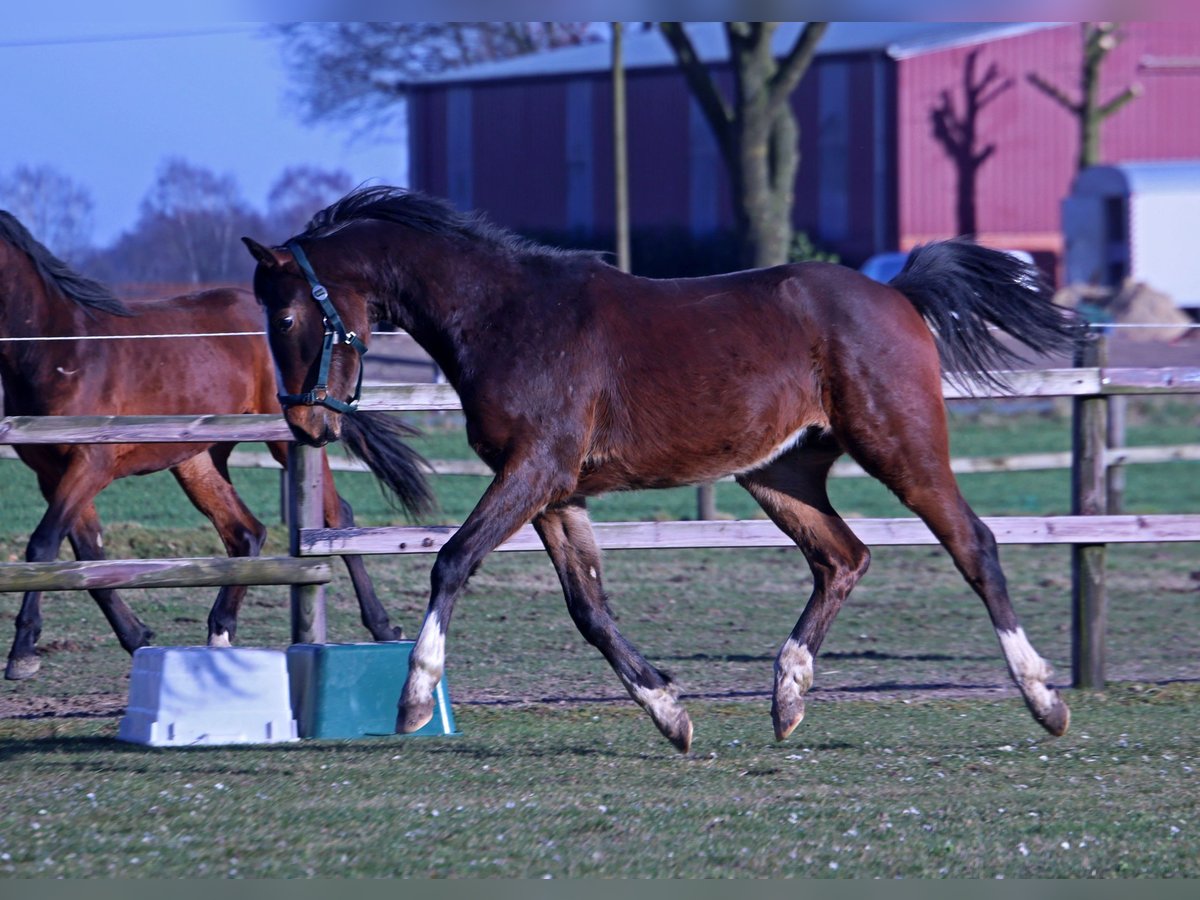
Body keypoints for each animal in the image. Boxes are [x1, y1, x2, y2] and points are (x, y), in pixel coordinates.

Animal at [0, 207, 432, 681]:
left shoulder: (90, 463)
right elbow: (87, 554)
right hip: (198, 460)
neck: (60, 349)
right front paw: (137, 637)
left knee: (336, 517)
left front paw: (22, 653)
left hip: (290, 439)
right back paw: (219, 632)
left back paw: (382, 626)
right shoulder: (52, 474)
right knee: (245, 533)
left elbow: (44, 545)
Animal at [241, 184, 1080, 753]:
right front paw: (670, 712)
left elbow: (453, 561)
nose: (305, 423)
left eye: (285, 316)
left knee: (973, 544)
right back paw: (787, 694)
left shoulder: (534, 471)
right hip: (780, 474)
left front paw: (415, 697)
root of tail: (895, 293)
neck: (504, 315)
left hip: (900, 446)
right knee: (842, 558)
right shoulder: (555, 493)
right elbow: (589, 607)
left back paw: (1043, 697)